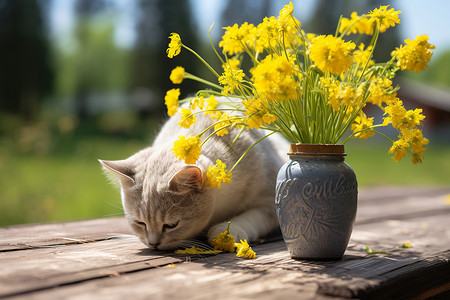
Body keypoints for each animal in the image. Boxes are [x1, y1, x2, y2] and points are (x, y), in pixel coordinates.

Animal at [99, 101, 288, 251]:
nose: (153, 244)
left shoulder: (270, 203)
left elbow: (251, 217)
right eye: (140, 223)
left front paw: (225, 233)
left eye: (171, 225)